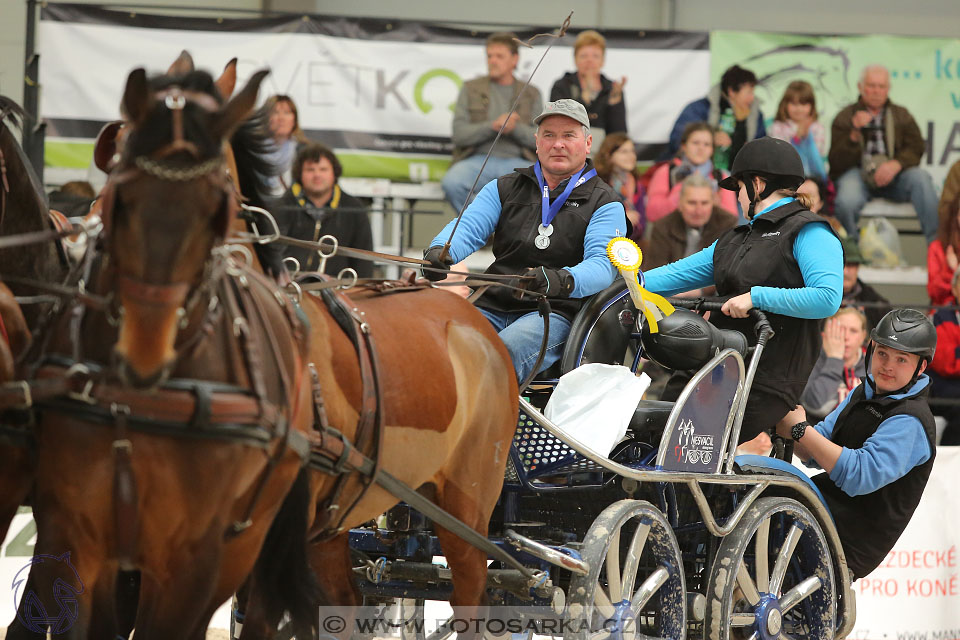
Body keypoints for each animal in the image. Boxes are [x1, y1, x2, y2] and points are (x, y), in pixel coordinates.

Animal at [13, 67, 316, 636]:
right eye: (118, 198)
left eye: (217, 207)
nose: (146, 346)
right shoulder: (72, 533)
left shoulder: (192, 561)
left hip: (243, 542)